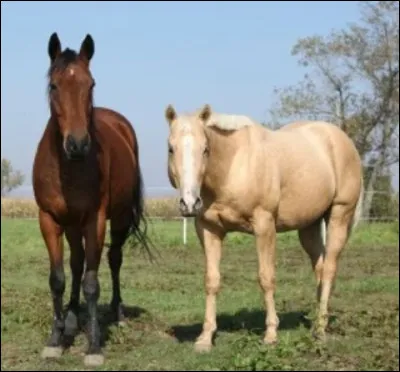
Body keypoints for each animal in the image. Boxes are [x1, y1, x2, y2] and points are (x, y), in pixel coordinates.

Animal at [31, 33, 152, 368]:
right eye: (54, 85)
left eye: (91, 84)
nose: (77, 144)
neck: (67, 166)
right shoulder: (48, 219)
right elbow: (58, 278)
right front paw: (56, 338)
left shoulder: (95, 220)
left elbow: (91, 282)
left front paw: (94, 346)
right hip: (72, 224)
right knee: (76, 263)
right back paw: (72, 319)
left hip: (119, 219)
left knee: (113, 259)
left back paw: (118, 312)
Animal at [164, 104, 364, 352]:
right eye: (171, 148)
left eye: (205, 149)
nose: (190, 203)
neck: (234, 166)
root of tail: (341, 139)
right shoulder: (209, 230)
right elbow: (212, 280)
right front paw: (205, 338)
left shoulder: (264, 226)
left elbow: (266, 278)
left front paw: (270, 334)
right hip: (309, 226)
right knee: (319, 268)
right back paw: (318, 321)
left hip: (339, 215)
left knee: (329, 270)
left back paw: (319, 330)